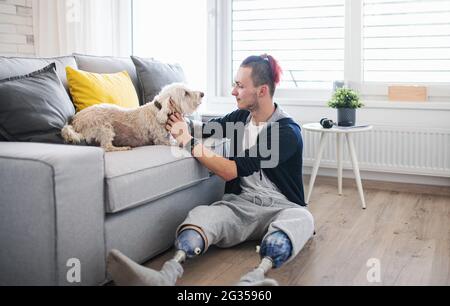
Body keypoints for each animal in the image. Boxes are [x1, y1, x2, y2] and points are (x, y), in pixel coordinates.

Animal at [62, 82, 204, 152]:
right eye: (186, 93)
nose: (202, 93)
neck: (158, 111)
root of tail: (75, 121)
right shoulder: (161, 140)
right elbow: (174, 142)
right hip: (105, 128)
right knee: (107, 147)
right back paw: (122, 148)